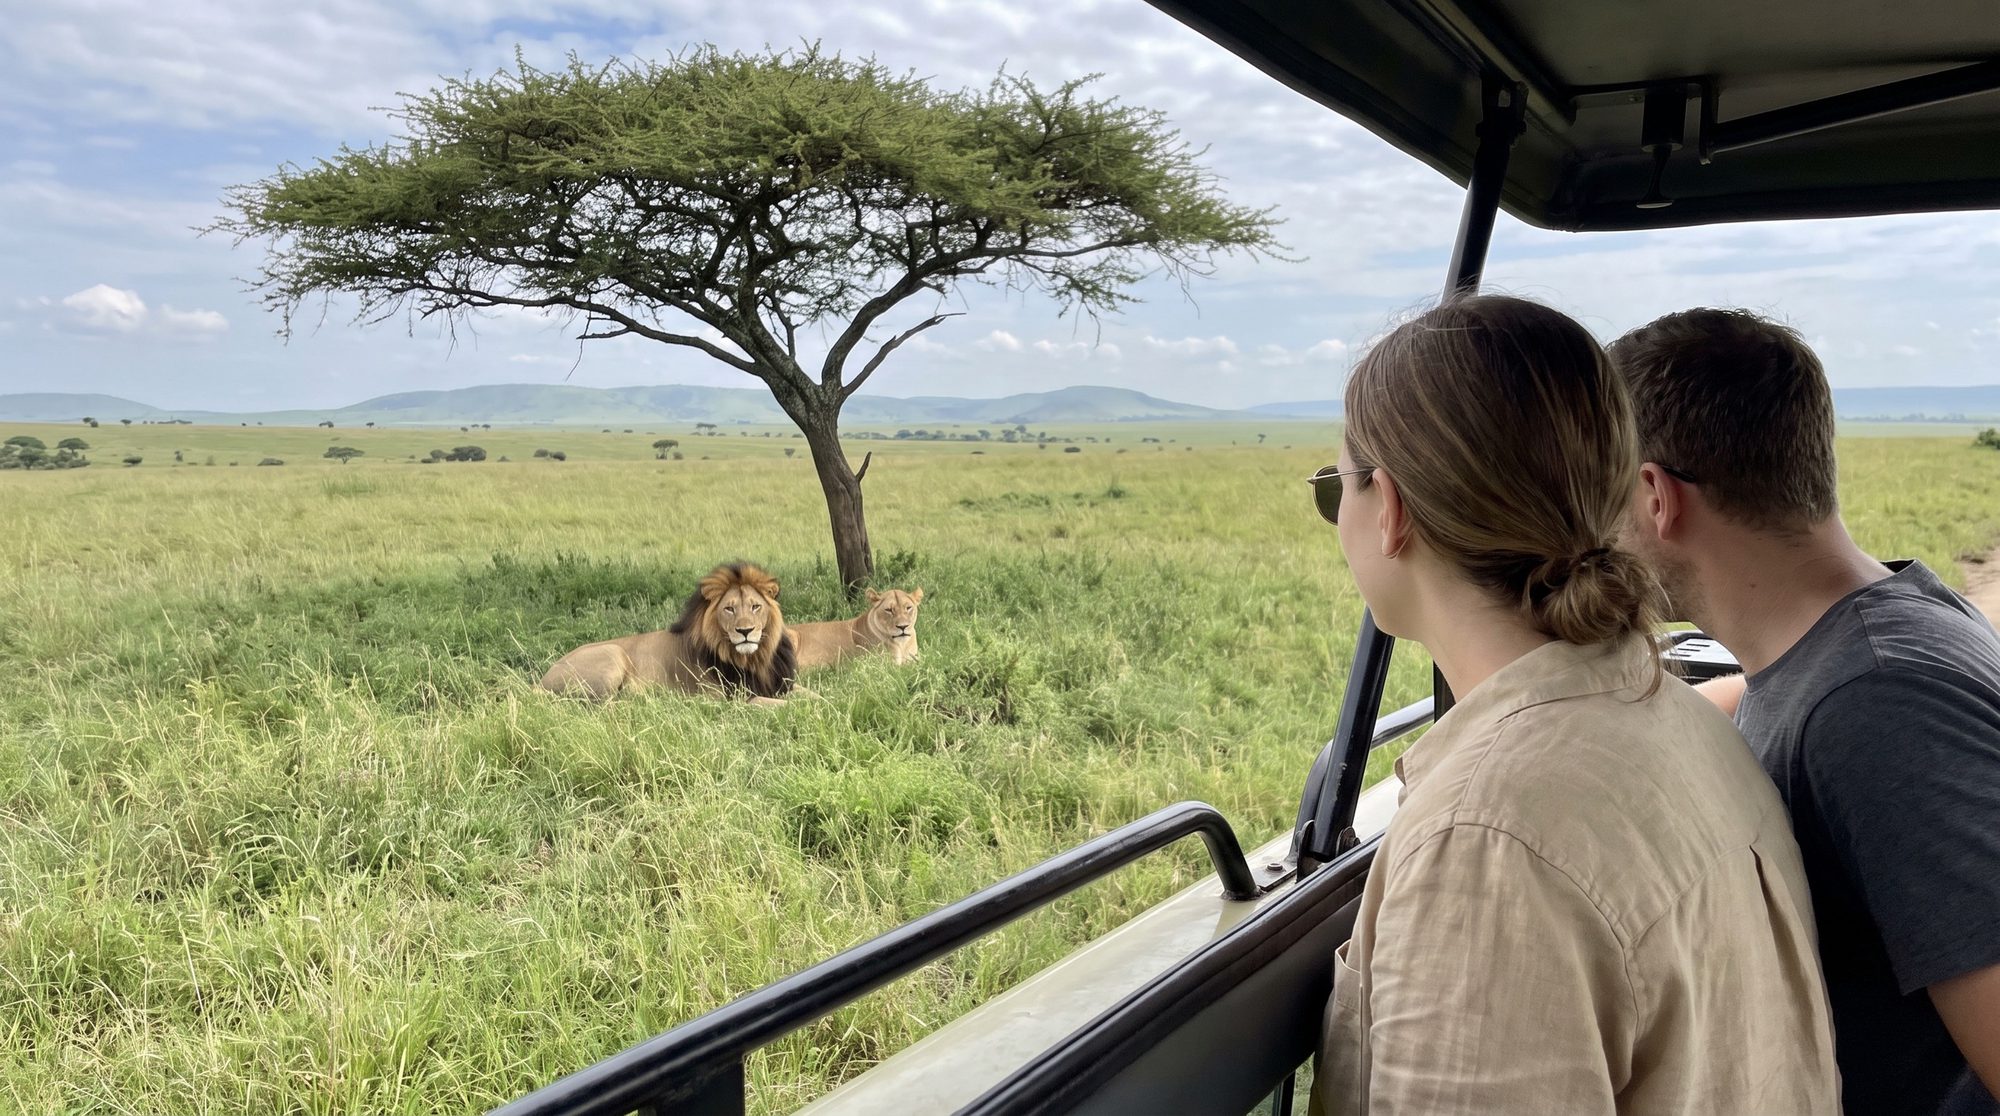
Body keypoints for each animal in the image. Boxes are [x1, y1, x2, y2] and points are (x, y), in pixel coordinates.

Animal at [537, 562, 798, 704]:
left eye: (755, 606)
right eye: (729, 609)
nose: (745, 631)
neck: (754, 659)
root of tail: (541, 680)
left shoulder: (780, 685)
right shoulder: (730, 698)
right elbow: (776, 704)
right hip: (612, 655)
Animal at [790, 587, 924, 671]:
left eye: (908, 608)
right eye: (889, 610)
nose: (903, 627)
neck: (902, 645)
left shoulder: (914, 660)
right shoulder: (883, 666)